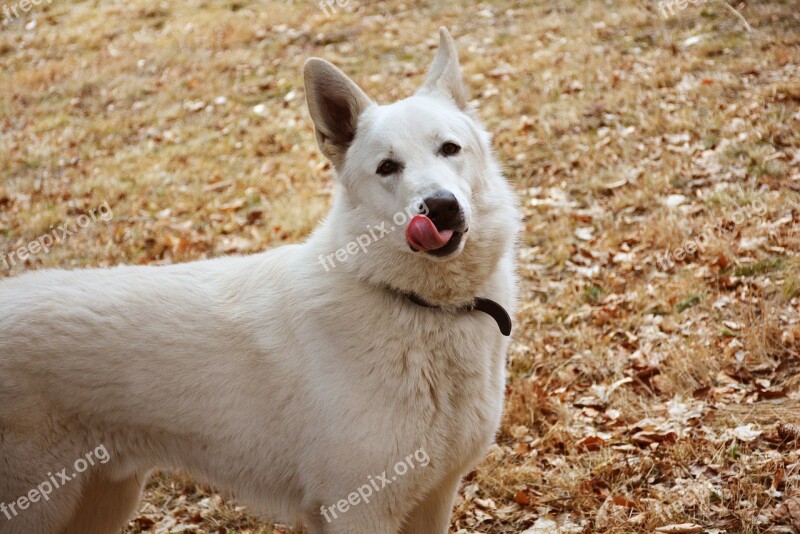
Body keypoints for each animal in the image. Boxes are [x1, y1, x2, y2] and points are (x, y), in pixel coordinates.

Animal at [0, 28, 520, 534]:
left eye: (449, 149)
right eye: (387, 168)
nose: (441, 208)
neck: (419, 305)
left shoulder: (434, 498)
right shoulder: (359, 510)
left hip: (103, 502)